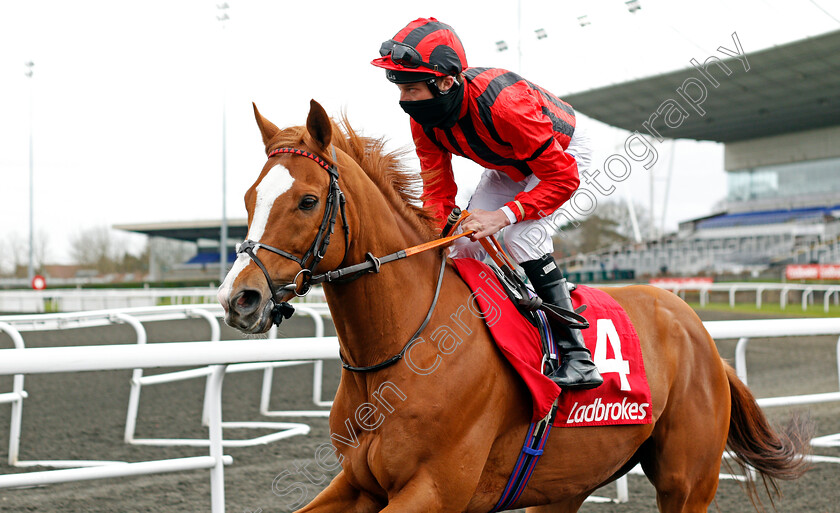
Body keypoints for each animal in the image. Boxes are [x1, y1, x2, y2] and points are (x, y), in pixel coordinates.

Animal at [220, 98, 812, 510]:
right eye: (248, 197)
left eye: (307, 200)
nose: (238, 297)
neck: (402, 350)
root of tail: (697, 328)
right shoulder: (358, 483)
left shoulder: (436, 490)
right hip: (565, 485)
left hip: (688, 482)